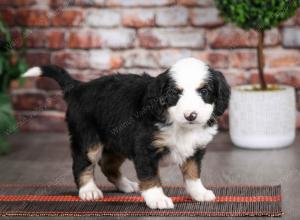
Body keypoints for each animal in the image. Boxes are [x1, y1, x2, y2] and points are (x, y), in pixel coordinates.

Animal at [24, 57, 230, 210]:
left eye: (204, 91)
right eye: (174, 93)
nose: (191, 115)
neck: (180, 126)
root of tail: (78, 87)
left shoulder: (195, 149)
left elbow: (193, 174)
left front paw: (199, 193)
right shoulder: (145, 147)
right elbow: (150, 176)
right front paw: (157, 198)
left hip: (116, 142)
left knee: (108, 165)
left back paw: (126, 185)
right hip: (88, 139)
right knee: (82, 164)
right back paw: (88, 190)